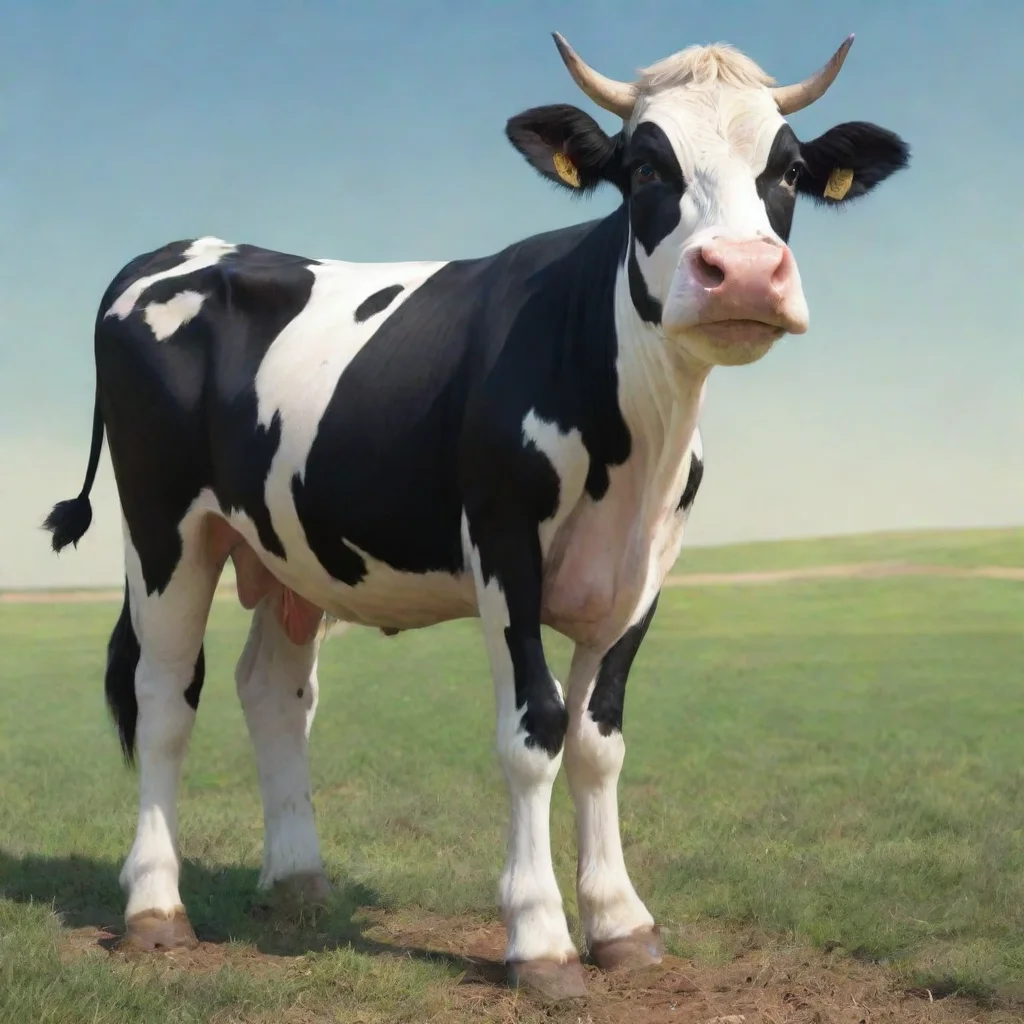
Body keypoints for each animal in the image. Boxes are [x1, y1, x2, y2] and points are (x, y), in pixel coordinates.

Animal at [45, 32, 908, 1000]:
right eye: (646, 167)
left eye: (789, 170)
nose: (745, 275)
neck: (635, 435)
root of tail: (174, 250)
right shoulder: (503, 543)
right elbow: (535, 731)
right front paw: (541, 941)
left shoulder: (647, 567)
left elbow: (599, 738)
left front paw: (621, 923)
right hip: (164, 525)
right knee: (163, 697)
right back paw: (155, 909)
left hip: (287, 548)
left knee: (274, 691)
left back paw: (298, 881)